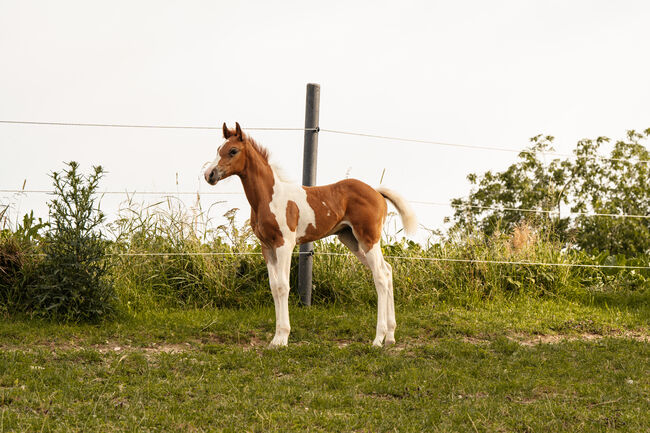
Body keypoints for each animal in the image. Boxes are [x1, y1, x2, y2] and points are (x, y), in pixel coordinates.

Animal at [202, 123, 416, 346]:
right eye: (218, 149)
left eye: (233, 151)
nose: (209, 174)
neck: (269, 197)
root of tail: (377, 193)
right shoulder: (266, 247)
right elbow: (273, 287)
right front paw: (275, 339)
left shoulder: (284, 244)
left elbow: (283, 286)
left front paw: (282, 338)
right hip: (352, 240)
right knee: (388, 270)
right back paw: (390, 337)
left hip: (368, 238)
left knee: (380, 277)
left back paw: (378, 339)